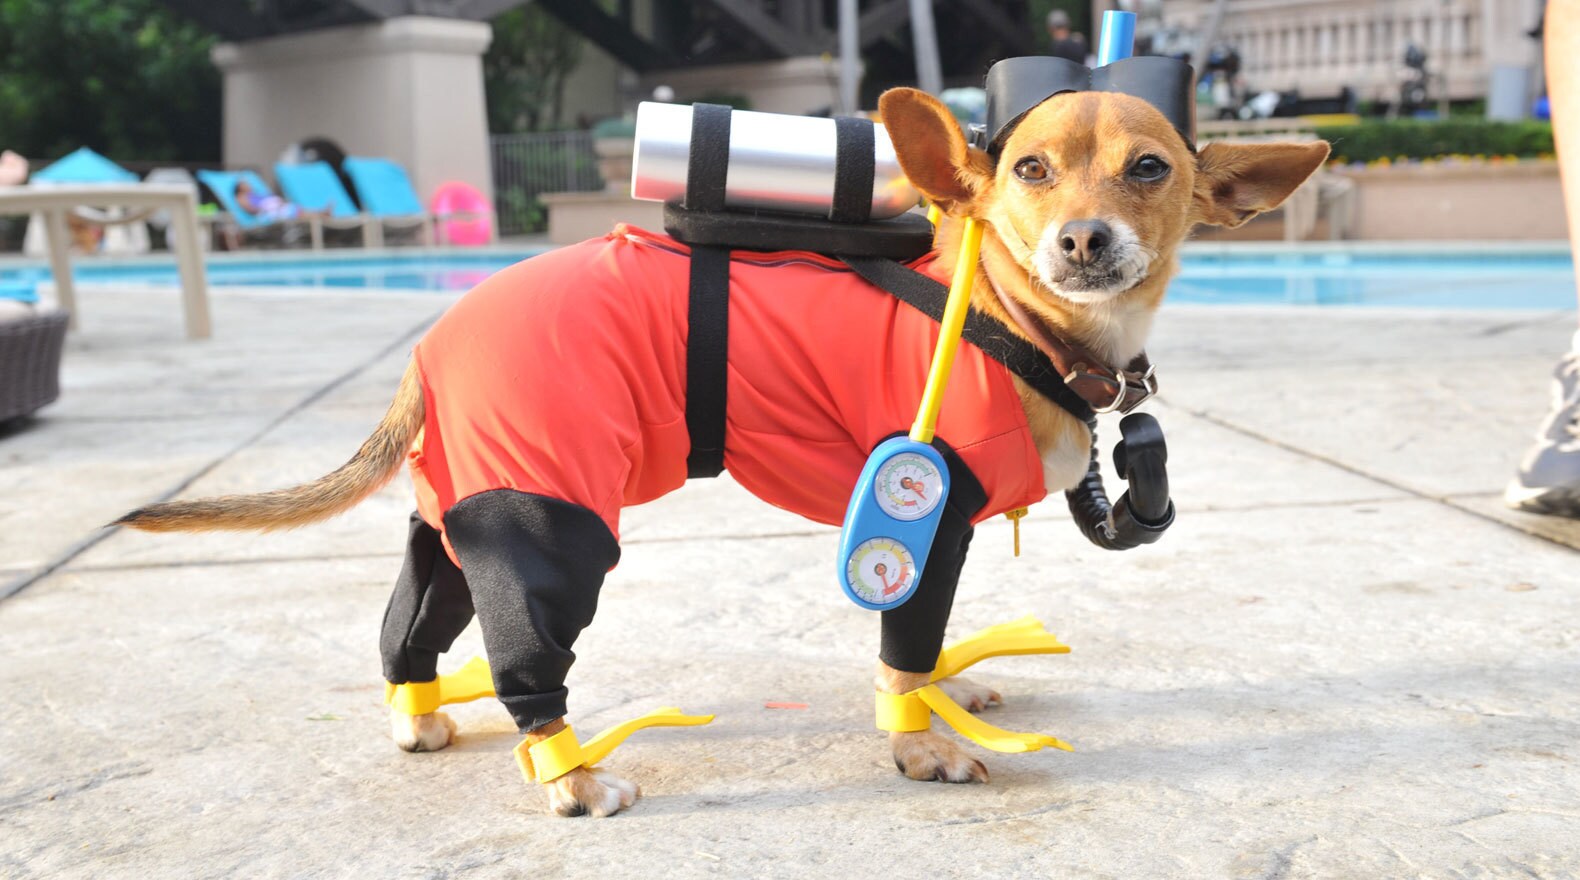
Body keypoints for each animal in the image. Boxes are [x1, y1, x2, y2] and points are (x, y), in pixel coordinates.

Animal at [116, 85, 1327, 815]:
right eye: (1029, 170)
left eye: (1148, 169)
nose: (1083, 239)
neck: (1004, 313)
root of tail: (434, 335)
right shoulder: (919, 518)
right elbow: (900, 643)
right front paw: (917, 743)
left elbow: (923, 642)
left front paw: (949, 686)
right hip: (547, 521)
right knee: (525, 659)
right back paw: (570, 776)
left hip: (454, 517)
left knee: (406, 629)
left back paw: (420, 720)